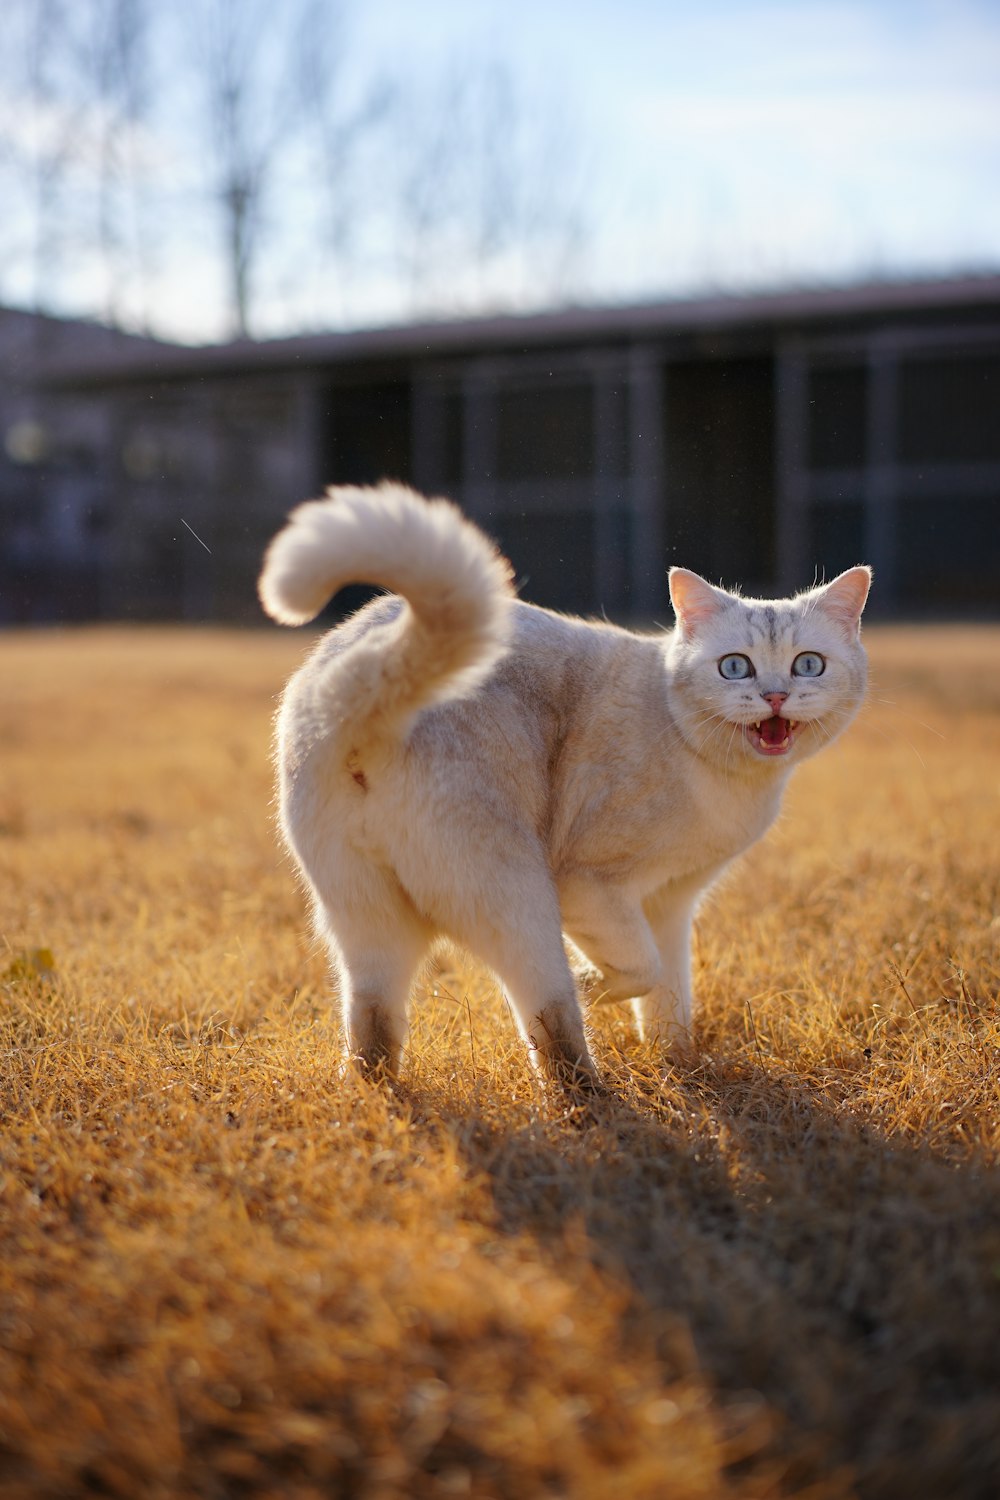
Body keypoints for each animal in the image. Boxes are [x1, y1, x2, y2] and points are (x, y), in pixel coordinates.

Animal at [257, 480, 869, 1092]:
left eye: (808, 665)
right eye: (735, 667)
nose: (775, 697)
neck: (733, 785)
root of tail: (369, 690)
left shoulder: (671, 902)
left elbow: (669, 1001)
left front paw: (681, 1073)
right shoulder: (592, 885)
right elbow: (642, 971)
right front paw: (595, 990)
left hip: (368, 922)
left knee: (373, 1032)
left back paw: (375, 1093)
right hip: (521, 899)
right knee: (552, 1024)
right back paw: (594, 1095)